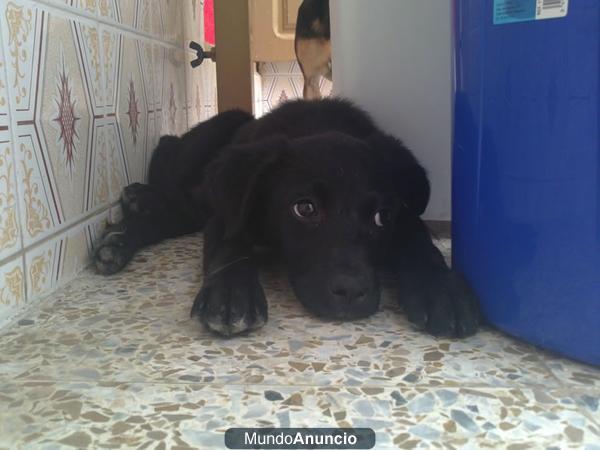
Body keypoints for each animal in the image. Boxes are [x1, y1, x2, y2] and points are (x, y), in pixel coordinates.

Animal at [92, 98, 478, 338]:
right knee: (178, 194)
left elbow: (419, 238)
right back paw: (129, 220)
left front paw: (442, 288)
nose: (352, 293)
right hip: (219, 138)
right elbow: (231, 244)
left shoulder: (405, 213)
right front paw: (230, 293)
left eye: (381, 217)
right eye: (304, 208)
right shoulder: (228, 211)